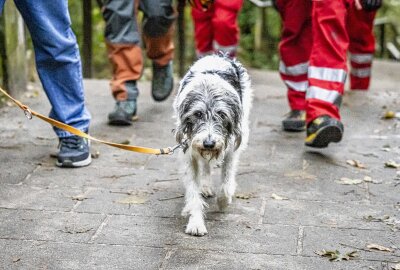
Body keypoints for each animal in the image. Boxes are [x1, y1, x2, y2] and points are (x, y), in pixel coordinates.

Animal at [173, 53, 253, 235]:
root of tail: (218, 55)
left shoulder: (231, 149)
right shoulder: (190, 153)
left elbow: (226, 180)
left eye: (222, 114)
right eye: (198, 114)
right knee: (206, 167)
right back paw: (205, 186)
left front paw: (224, 201)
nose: (209, 143)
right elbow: (193, 191)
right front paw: (195, 222)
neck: (208, 88)